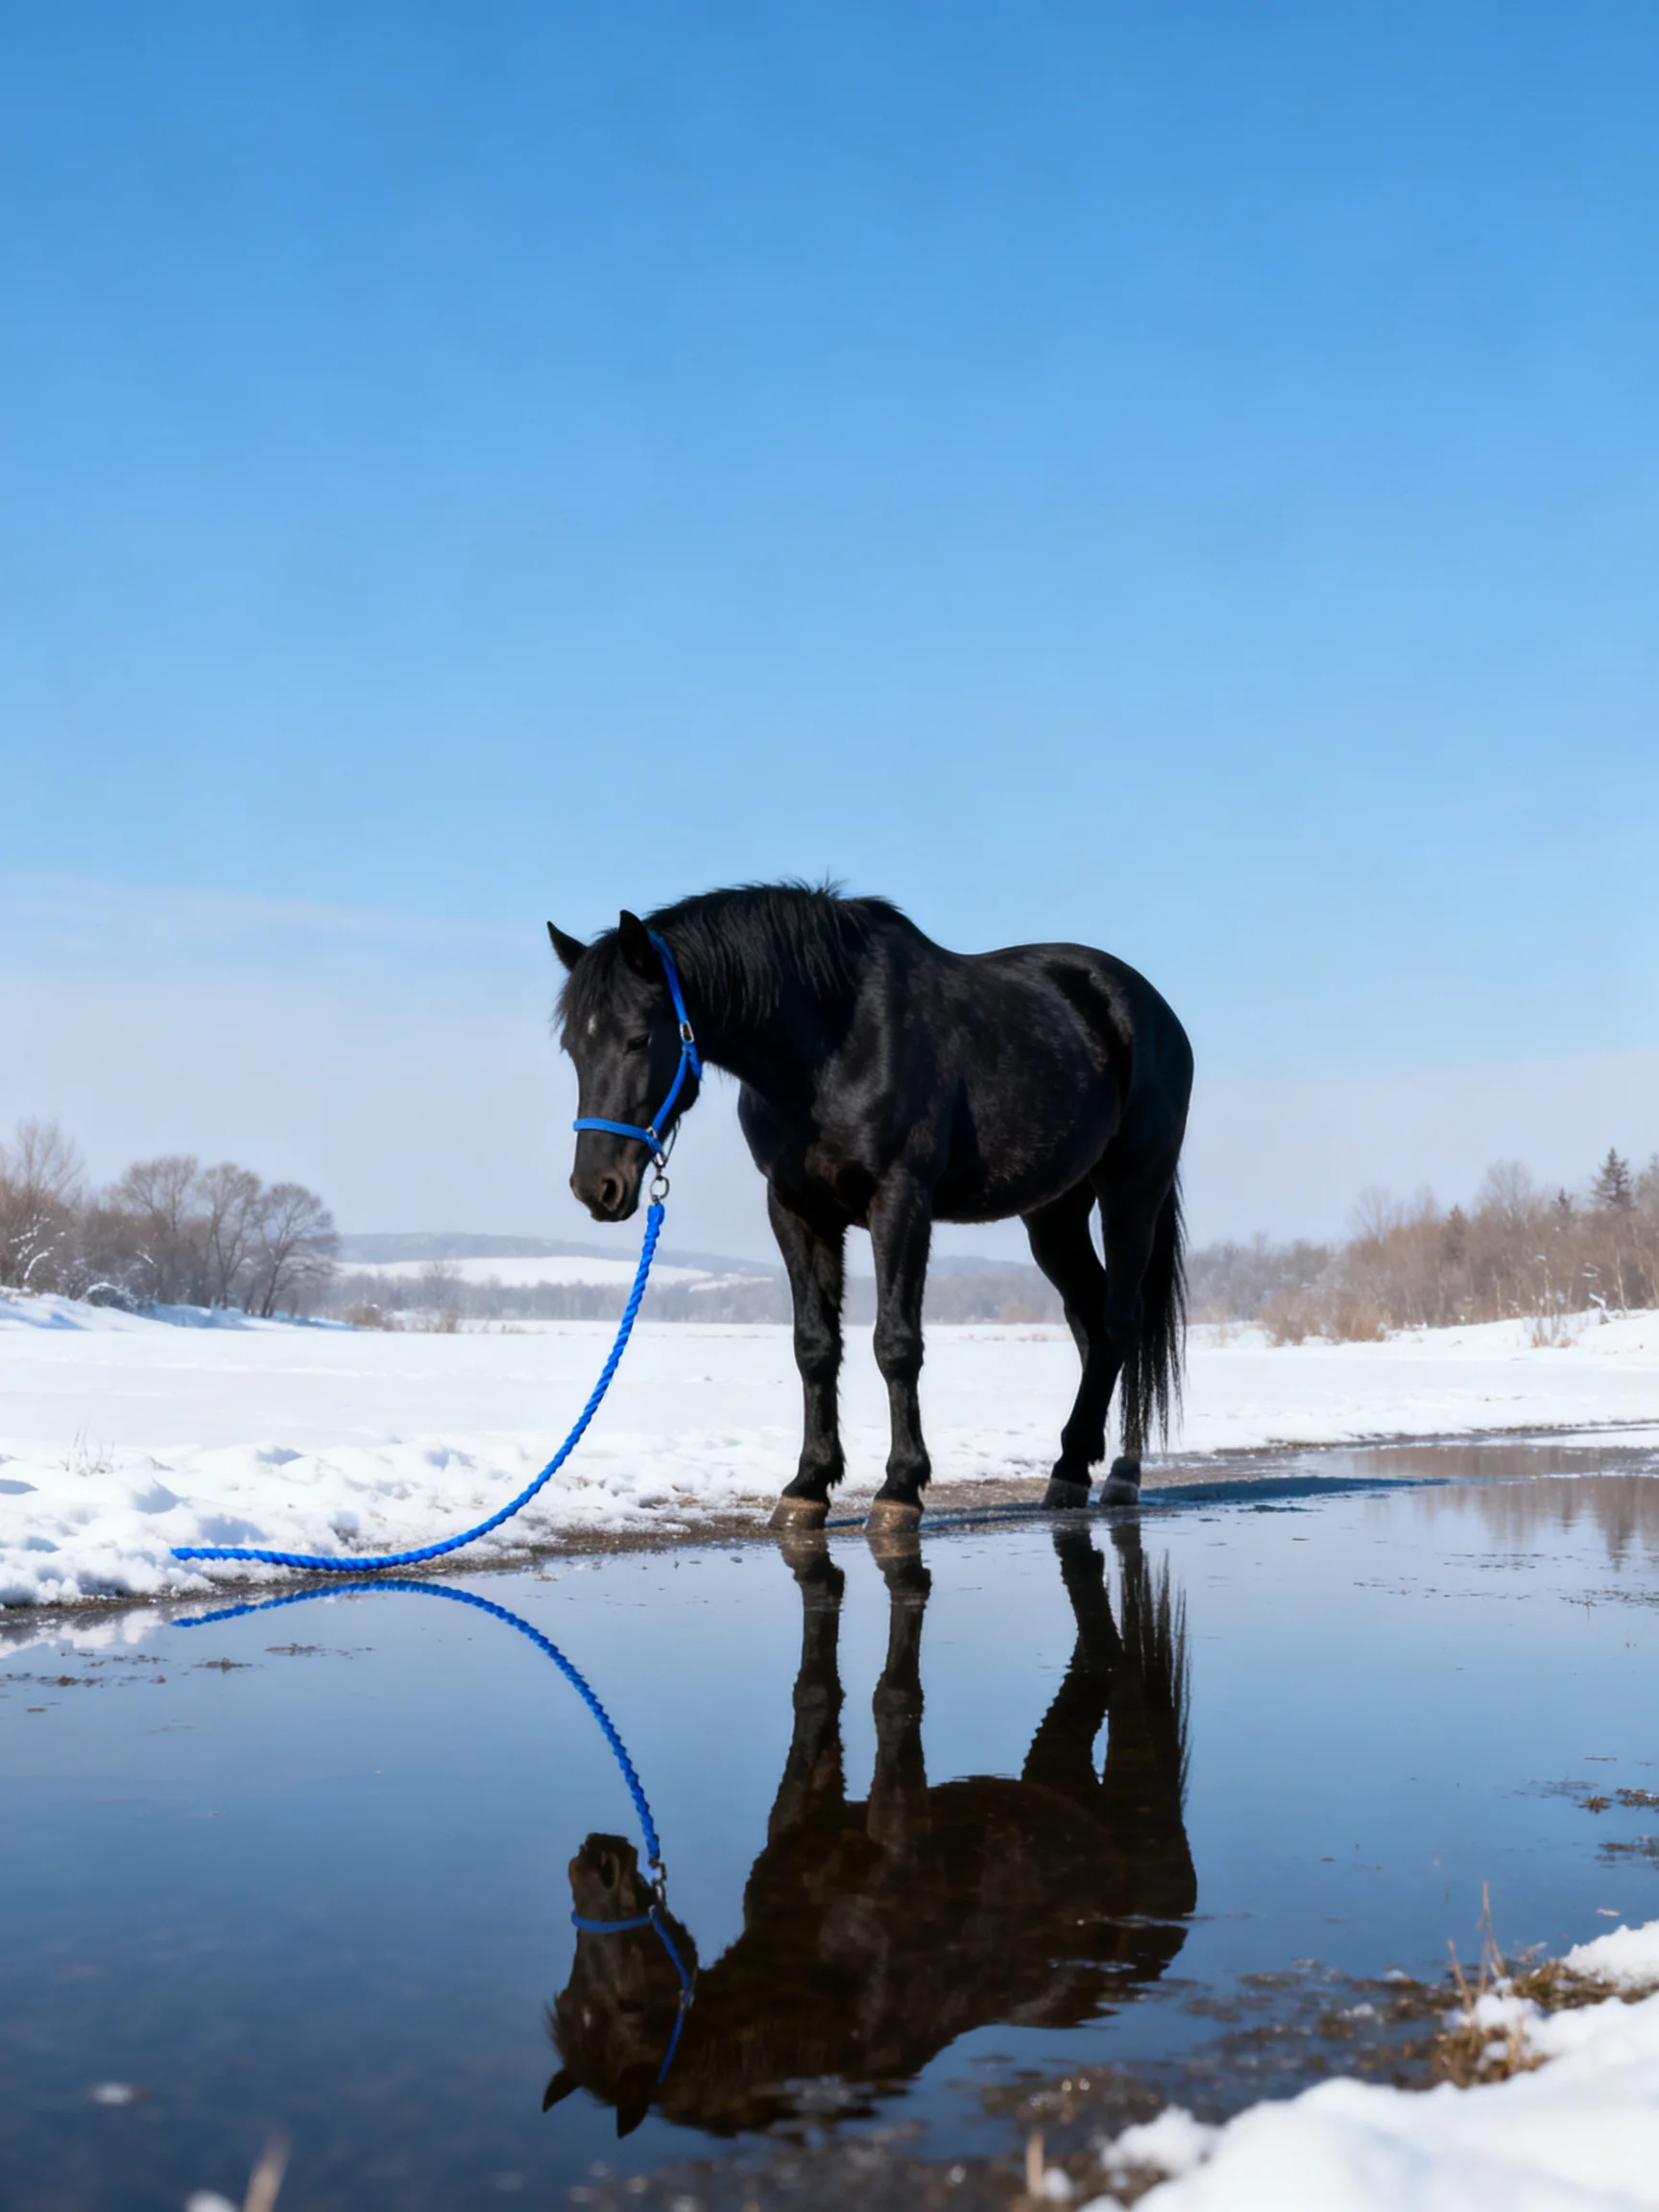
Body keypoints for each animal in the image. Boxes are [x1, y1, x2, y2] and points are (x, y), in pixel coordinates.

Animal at [542, 1520, 1195, 2137]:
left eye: (628, 2006)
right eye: (572, 1993)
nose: (593, 1863)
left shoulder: (902, 1833)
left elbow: (893, 1699)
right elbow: (814, 1695)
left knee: (1122, 1669)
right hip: (1055, 1762)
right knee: (1090, 1658)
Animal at [549, 884, 1192, 1530]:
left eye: (638, 1038)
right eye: (572, 1048)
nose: (595, 1186)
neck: (832, 1045)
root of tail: (1149, 1009)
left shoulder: (899, 1200)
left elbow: (896, 1343)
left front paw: (900, 1489)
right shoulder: (795, 1209)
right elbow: (814, 1345)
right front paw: (808, 1485)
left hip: (1132, 1192)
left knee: (1121, 1319)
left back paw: (1119, 1475)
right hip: (1054, 1212)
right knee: (1090, 1323)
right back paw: (1071, 1469)